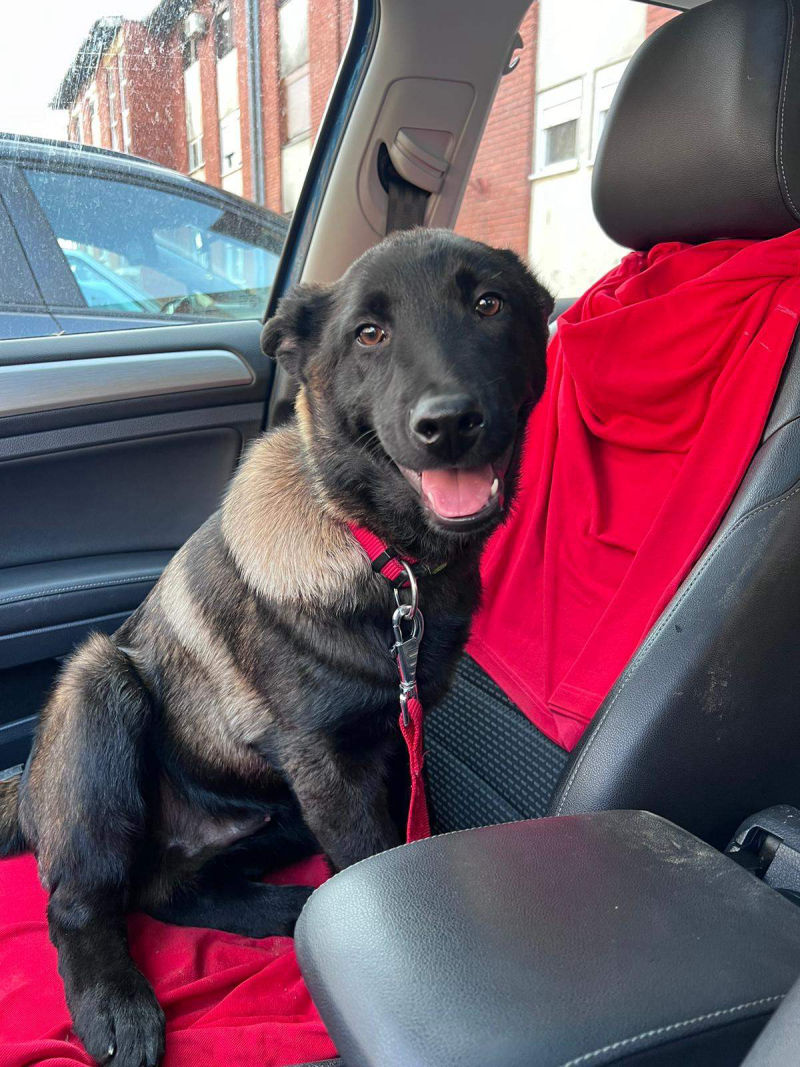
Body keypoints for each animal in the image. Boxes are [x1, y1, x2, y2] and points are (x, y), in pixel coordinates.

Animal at [0, 227, 552, 1067]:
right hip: (100, 687)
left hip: (274, 815)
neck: (384, 556)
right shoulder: (331, 766)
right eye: (369, 333)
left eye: (490, 304)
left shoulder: (388, 748)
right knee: (79, 902)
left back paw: (293, 910)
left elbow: (397, 842)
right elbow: (373, 856)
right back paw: (117, 1004)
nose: (449, 422)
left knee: (167, 893)